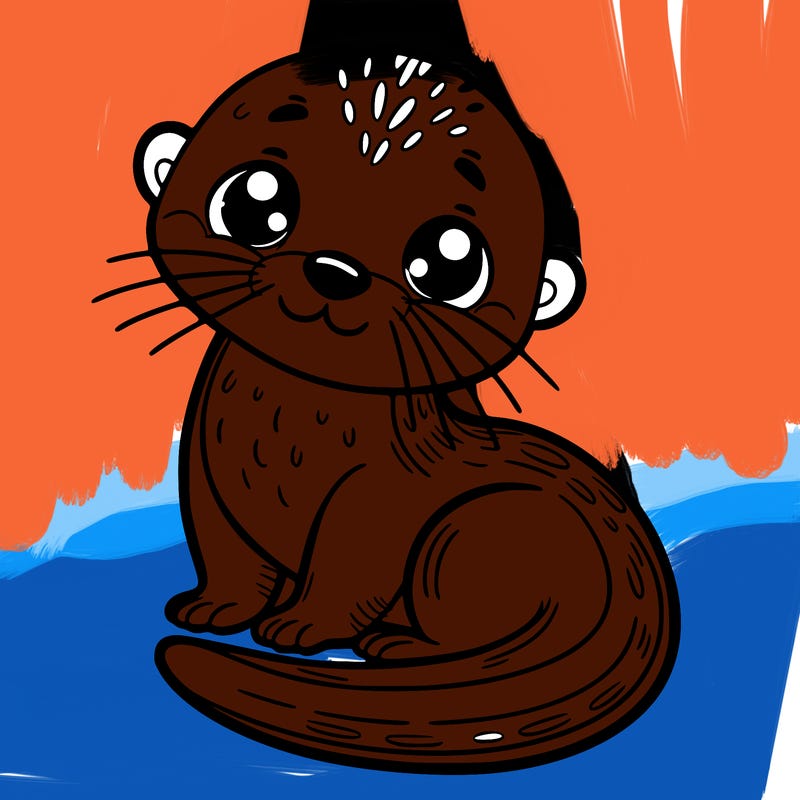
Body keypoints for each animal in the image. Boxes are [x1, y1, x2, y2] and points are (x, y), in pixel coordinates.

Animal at [107, 0, 679, 774]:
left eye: (449, 262)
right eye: (255, 201)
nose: (334, 270)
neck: (283, 433)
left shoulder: (377, 496)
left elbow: (350, 567)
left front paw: (299, 626)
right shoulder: (204, 467)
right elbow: (226, 552)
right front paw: (216, 610)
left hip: (472, 531)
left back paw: (399, 645)